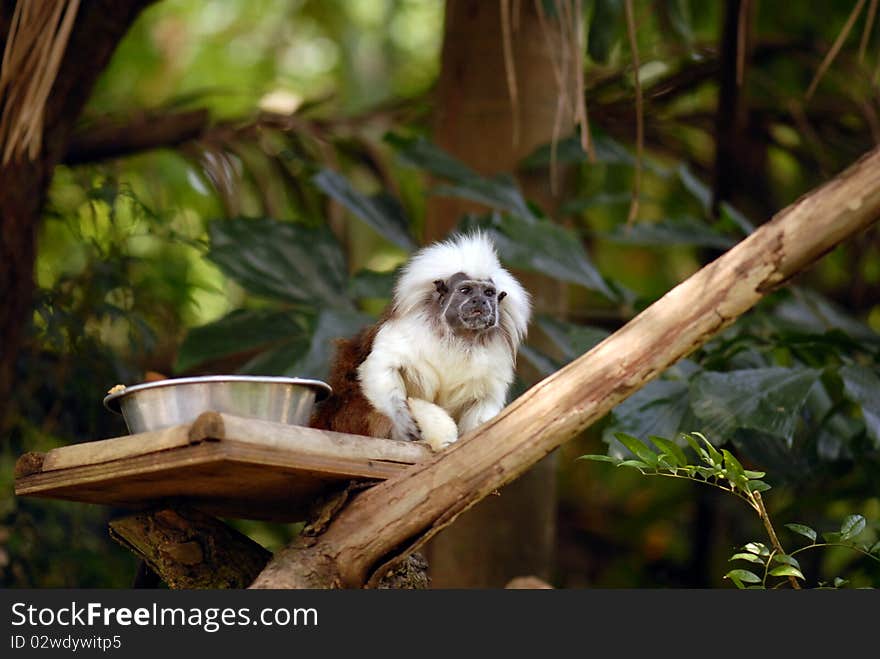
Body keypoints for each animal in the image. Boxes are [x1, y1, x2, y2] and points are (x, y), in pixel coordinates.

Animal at [310, 229, 528, 452]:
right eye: (465, 290)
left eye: (488, 293)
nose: (480, 301)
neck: (458, 336)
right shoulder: (411, 327)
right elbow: (381, 366)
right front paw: (401, 420)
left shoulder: (497, 356)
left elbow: (486, 399)